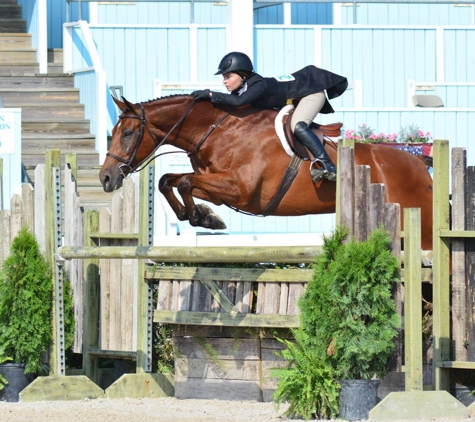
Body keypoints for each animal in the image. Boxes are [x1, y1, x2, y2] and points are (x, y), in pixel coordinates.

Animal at [100, 95, 436, 251]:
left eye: (128, 133)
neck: (219, 130)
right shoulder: (218, 187)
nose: (106, 178)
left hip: (422, 229)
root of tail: (421, 164)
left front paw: (202, 217)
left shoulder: (242, 191)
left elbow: (182, 181)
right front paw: (204, 216)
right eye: (114, 133)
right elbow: (169, 181)